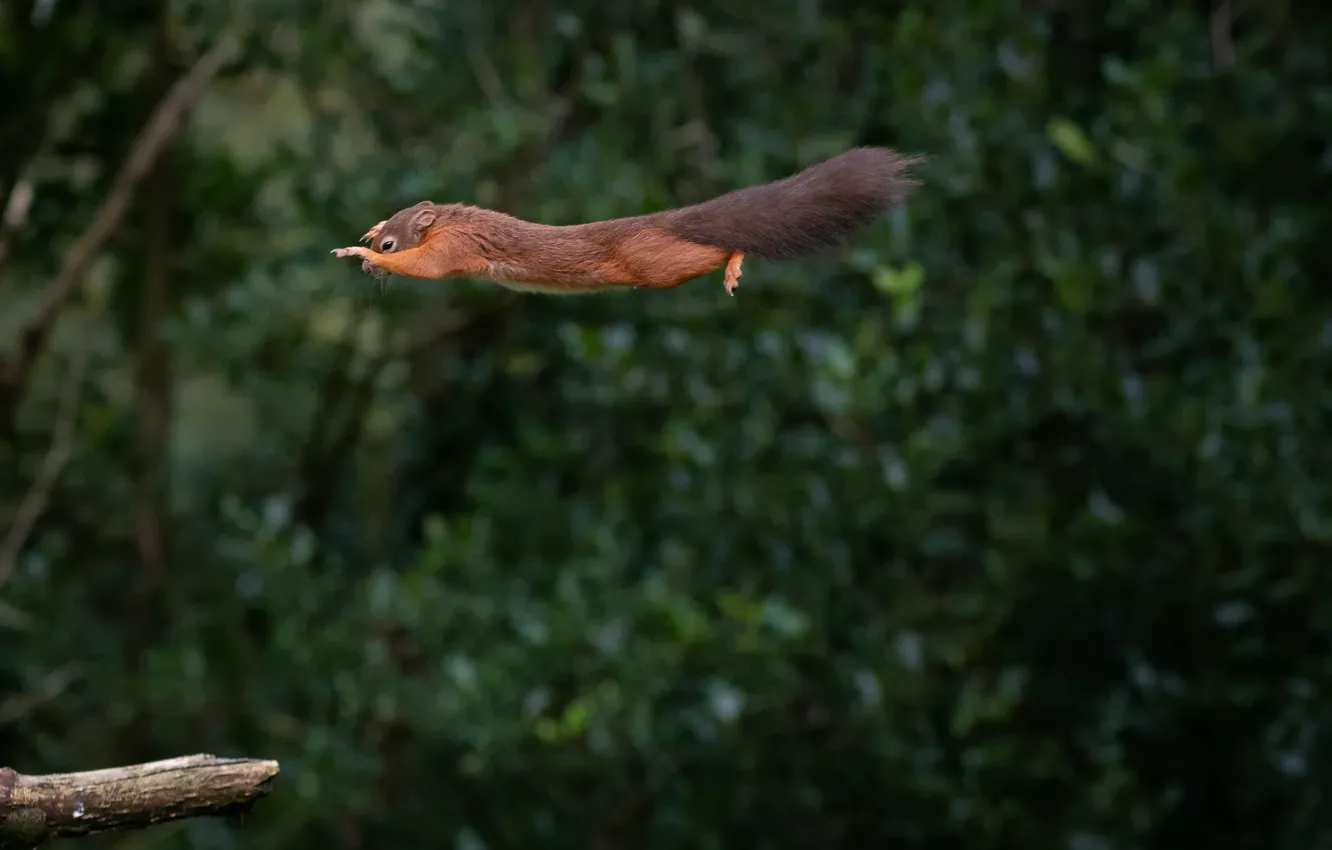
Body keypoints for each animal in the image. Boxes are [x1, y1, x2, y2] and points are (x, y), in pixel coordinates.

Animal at [331, 146, 921, 296]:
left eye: (390, 246)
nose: (370, 267)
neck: (447, 219)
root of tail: (663, 220)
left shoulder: (456, 247)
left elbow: (426, 267)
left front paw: (355, 252)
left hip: (655, 261)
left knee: (710, 250)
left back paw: (734, 260)